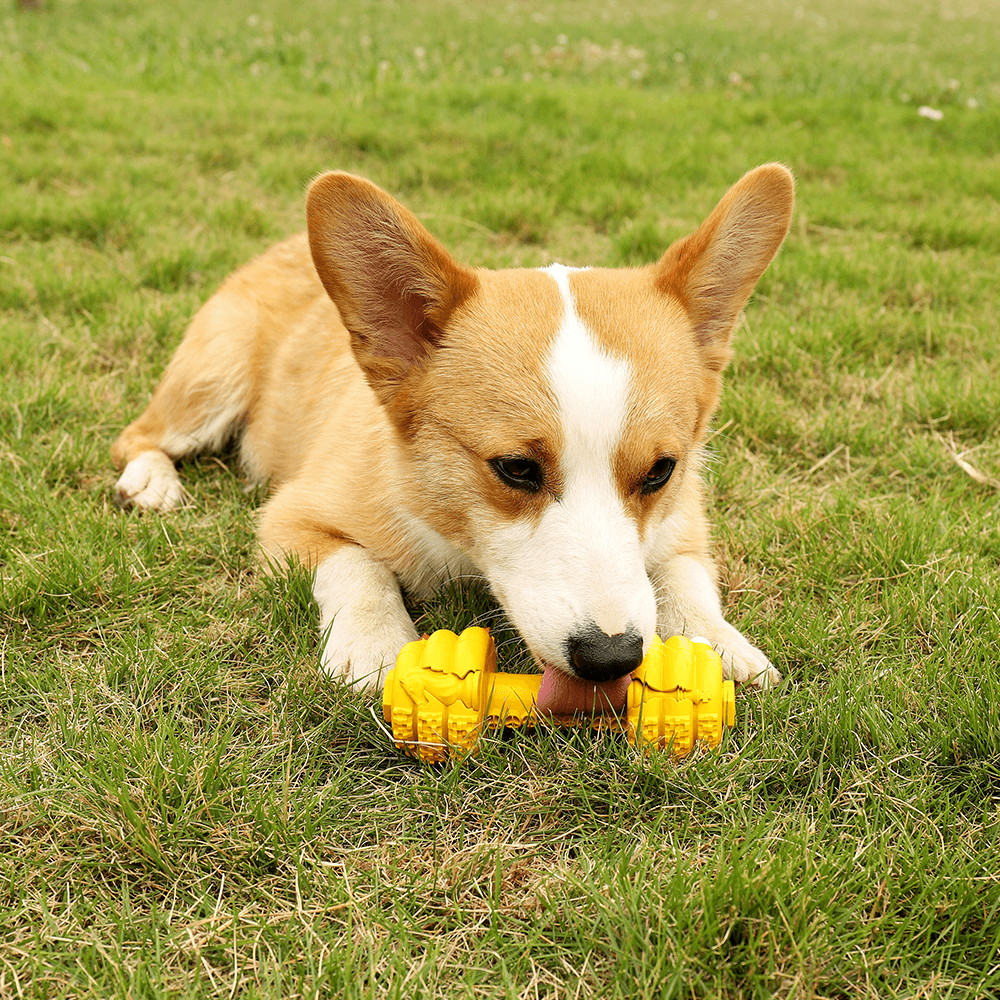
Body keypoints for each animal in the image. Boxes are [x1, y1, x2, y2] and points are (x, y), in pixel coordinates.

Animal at [111, 162, 796, 712]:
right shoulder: (293, 519)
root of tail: (282, 245)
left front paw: (722, 645)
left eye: (660, 471)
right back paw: (151, 481)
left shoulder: (684, 526)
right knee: (137, 435)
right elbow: (358, 567)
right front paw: (376, 649)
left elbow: (684, 580)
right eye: (515, 468)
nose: (612, 658)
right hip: (211, 384)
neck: (462, 545)